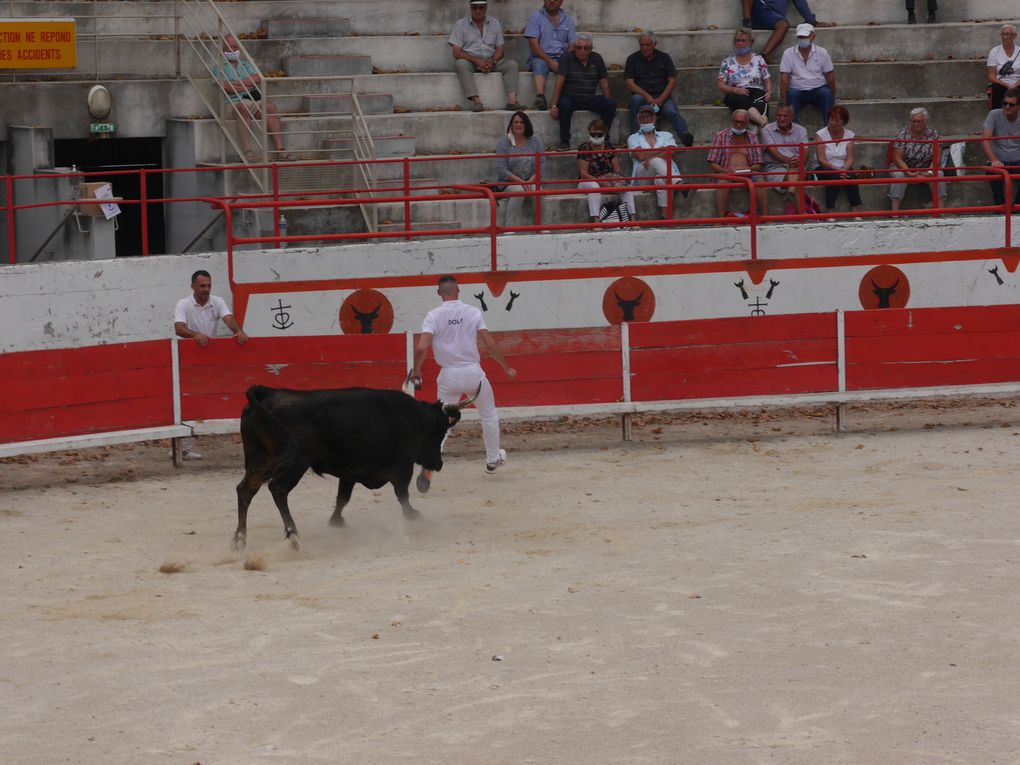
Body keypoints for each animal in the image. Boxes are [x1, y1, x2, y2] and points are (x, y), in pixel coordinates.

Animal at [234, 385, 477, 554]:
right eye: (438, 430)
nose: (438, 464)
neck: (413, 419)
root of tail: (267, 394)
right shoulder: (402, 465)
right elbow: (402, 494)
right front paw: (414, 516)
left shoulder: (351, 469)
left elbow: (343, 497)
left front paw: (336, 521)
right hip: (296, 462)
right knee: (278, 489)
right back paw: (292, 535)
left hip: (258, 458)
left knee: (245, 490)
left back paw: (239, 539)